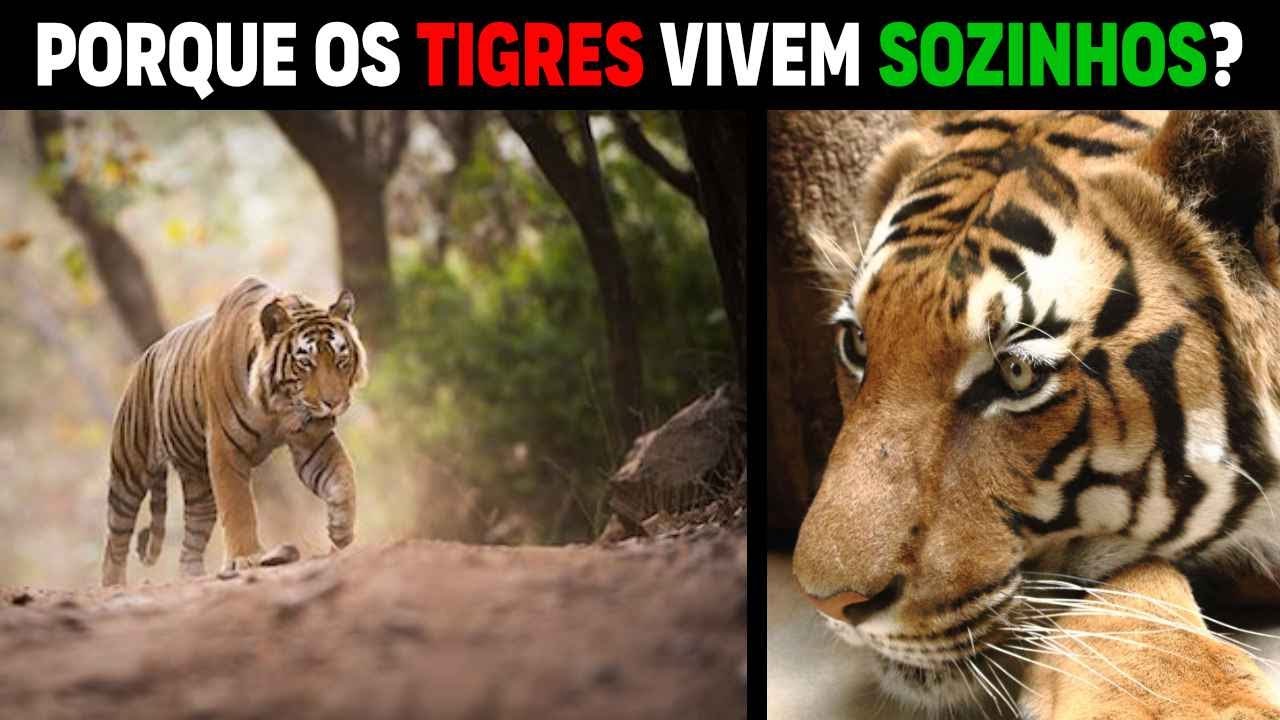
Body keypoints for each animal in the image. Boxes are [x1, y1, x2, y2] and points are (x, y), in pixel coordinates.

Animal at [102, 277, 368, 587]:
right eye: (305, 363)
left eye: (341, 360)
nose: (334, 402)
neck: (278, 406)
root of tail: (147, 354)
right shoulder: (225, 448)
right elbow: (238, 505)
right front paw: (246, 558)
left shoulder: (313, 440)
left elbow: (342, 477)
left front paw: (341, 531)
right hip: (129, 471)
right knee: (116, 537)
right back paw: (113, 584)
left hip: (200, 484)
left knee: (191, 540)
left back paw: (193, 575)